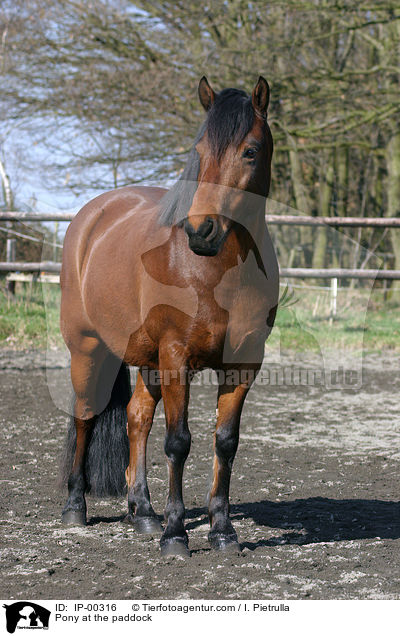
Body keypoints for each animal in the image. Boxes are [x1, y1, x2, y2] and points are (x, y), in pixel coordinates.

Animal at [60, 74, 278, 556]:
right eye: (199, 151)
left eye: (250, 151)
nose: (201, 230)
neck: (217, 271)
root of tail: (92, 216)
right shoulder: (177, 357)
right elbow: (178, 443)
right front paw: (176, 534)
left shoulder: (242, 365)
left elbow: (225, 443)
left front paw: (222, 530)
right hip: (88, 349)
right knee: (86, 416)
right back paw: (75, 507)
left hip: (145, 358)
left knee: (137, 418)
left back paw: (141, 511)